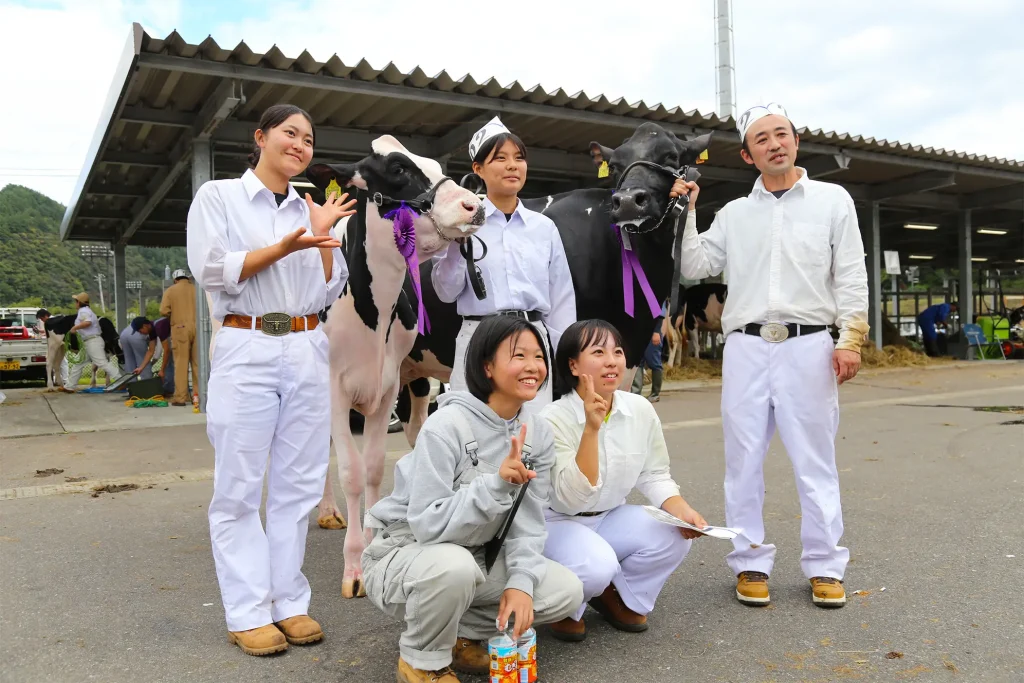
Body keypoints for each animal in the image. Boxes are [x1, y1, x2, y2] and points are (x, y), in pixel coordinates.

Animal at [303, 137, 483, 598]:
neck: (372, 309)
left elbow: (371, 468)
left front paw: (370, 547)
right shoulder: (333, 387)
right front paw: (353, 569)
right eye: (399, 169)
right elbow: (350, 472)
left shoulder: (386, 387)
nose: (474, 204)